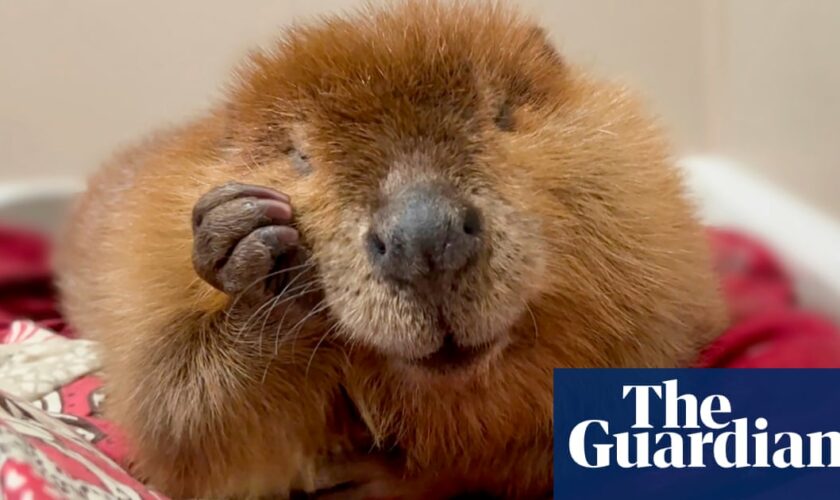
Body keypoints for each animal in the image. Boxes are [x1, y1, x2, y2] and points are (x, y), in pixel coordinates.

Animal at [57, 1, 728, 498]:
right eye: (298, 154)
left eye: (502, 115)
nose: (424, 237)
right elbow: (178, 426)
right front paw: (249, 244)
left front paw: (377, 477)